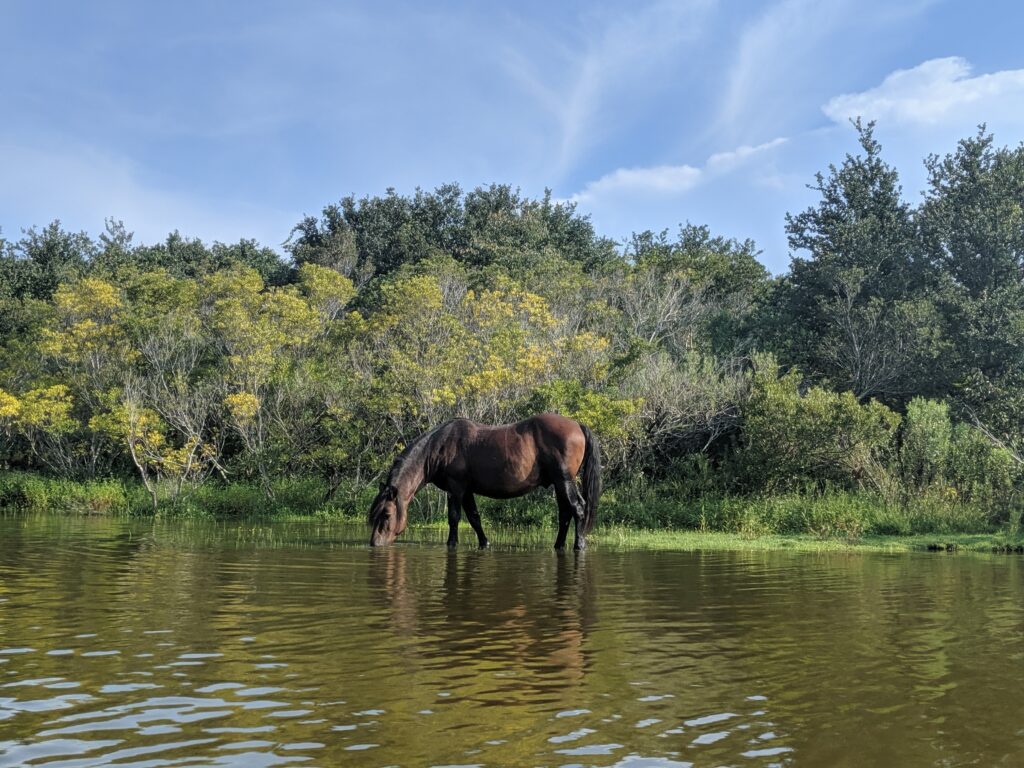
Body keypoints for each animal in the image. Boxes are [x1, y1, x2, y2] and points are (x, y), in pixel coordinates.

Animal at [370, 415, 598, 552]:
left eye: (387, 514)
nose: (374, 543)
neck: (440, 446)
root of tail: (578, 426)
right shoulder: (467, 490)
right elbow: (474, 518)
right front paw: (484, 542)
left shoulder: (456, 488)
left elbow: (454, 517)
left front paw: (451, 543)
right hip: (559, 484)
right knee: (565, 514)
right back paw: (558, 545)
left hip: (564, 481)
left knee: (578, 509)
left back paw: (579, 545)